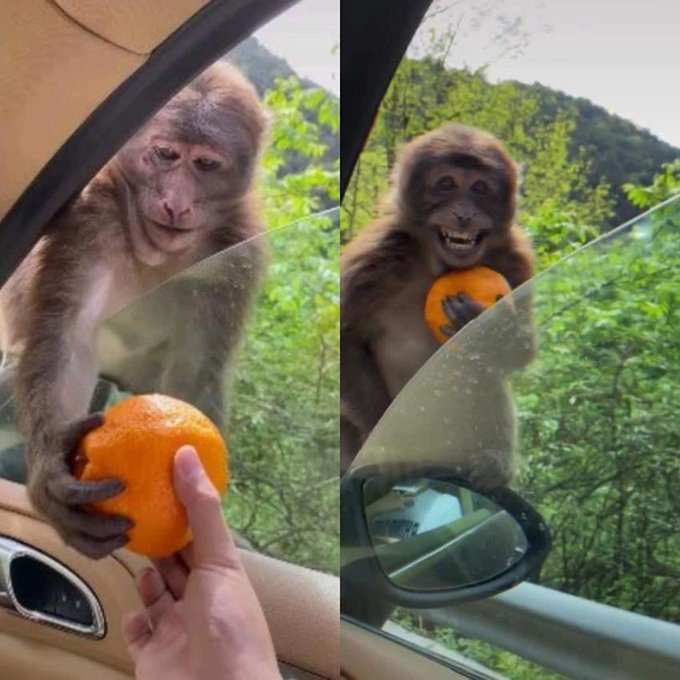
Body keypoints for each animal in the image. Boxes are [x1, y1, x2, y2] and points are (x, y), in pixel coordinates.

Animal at [0, 62, 268, 559]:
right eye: (164, 154)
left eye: (205, 164)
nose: (176, 203)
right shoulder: (91, 221)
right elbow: (69, 339)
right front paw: (51, 470)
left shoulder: (236, 259)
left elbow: (195, 375)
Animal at [340, 124, 536, 487]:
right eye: (446, 183)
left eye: (480, 187)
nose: (464, 214)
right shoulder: (378, 256)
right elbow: (347, 339)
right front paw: (389, 446)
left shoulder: (516, 259)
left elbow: (523, 349)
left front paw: (479, 321)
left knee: (484, 369)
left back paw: (493, 462)